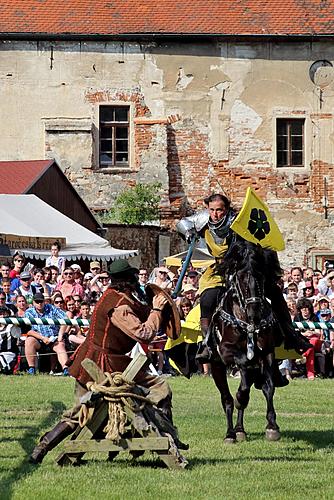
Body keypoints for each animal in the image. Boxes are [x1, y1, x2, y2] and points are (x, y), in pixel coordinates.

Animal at [210, 237, 284, 442]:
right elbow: (241, 390)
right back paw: (230, 433)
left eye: (261, 278)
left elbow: (268, 387)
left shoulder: (267, 353)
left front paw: (272, 426)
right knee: (227, 398)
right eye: (241, 279)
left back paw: (239, 429)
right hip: (216, 365)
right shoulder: (226, 352)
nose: (255, 312)